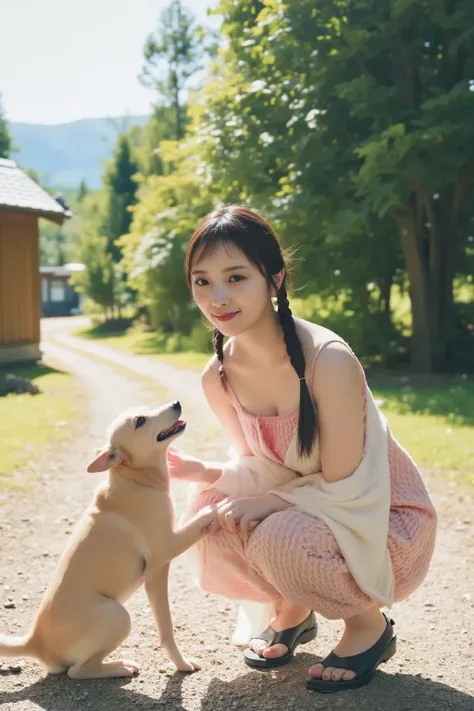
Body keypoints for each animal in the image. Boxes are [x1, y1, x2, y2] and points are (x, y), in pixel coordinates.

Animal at [0, 400, 218, 680]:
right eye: (140, 421)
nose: (176, 403)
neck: (135, 478)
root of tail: (35, 641)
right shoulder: (163, 557)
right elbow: (167, 630)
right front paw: (181, 664)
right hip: (118, 616)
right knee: (77, 671)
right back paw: (119, 667)